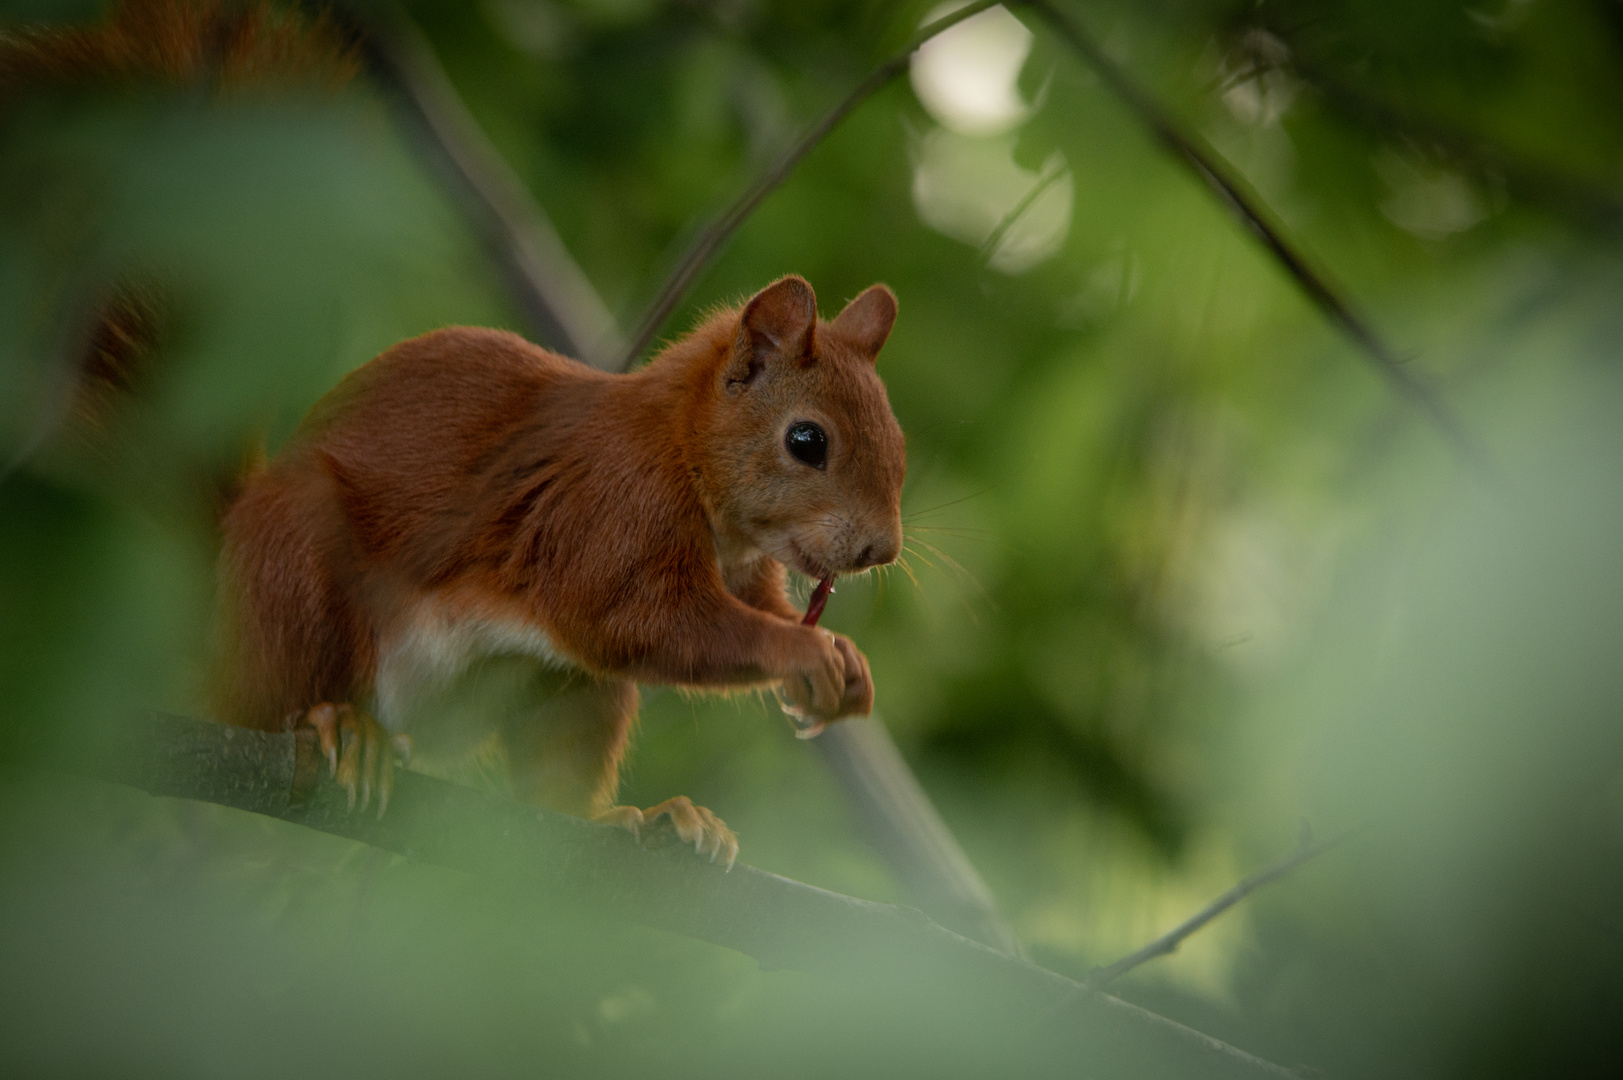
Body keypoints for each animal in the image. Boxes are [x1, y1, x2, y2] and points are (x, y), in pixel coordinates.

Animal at [212, 276, 915, 857]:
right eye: (806, 440)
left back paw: (642, 818)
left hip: (567, 694)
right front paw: (801, 651)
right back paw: (337, 725)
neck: (679, 443)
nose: (881, 550)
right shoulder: (606, 513)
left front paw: (849, 666)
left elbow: (750, 609)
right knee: (265, 697)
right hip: (294, 560)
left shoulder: (744, 570)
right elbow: (641, 623)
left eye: (898, 440)